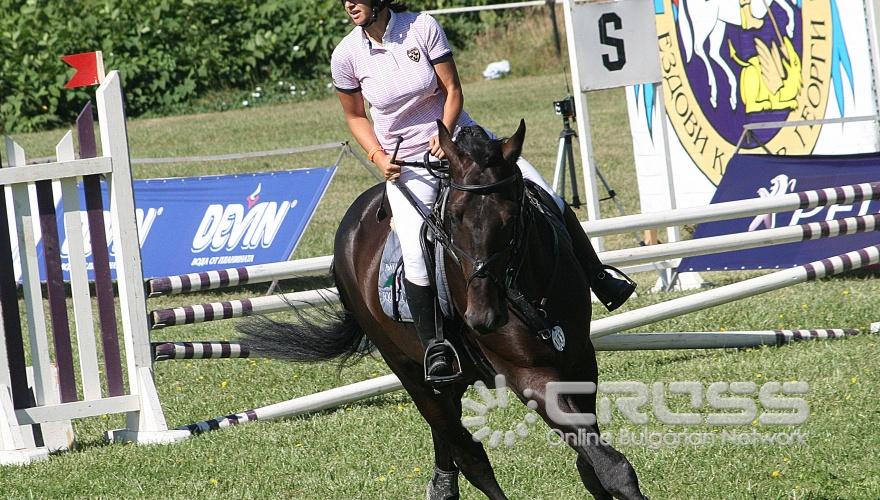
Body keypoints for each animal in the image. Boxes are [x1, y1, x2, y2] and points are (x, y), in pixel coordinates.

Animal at [241, 119, 648, 498]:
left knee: (450, 443)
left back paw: (441, 486)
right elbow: (610, 465)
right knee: (471, 457)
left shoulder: (579, 358)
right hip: (411, 372)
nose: (482, 318)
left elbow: (592, 462)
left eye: (511, 216)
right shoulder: (527, 375)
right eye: (451, 218)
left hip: (451, 378)